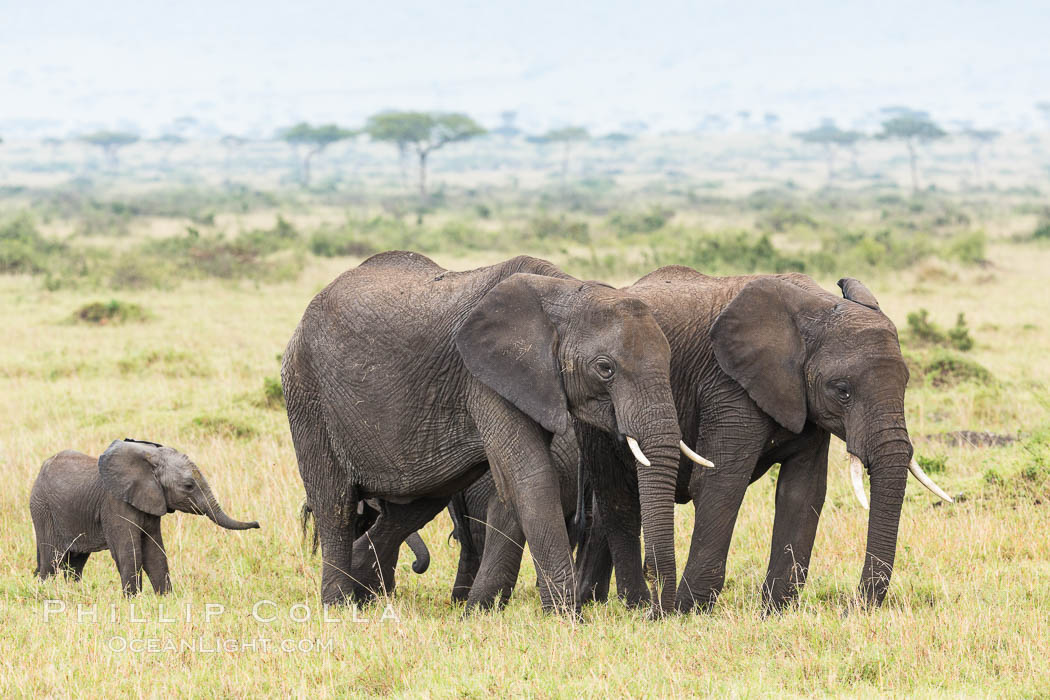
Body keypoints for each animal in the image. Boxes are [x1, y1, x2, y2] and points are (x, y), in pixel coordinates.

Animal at [29, 438, 259, 596]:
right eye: (188, 486)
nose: (257, 523)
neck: (149, 460)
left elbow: (155, 551)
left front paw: (165, 599)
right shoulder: (115, 503)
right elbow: (129, 550)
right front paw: (132, 601)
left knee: (75, 562)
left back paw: (74, 591)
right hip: (42, 509)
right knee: (51, 560)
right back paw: (45, 592)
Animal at [283, 252, 701, 612]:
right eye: (605, 368)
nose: (657, 610)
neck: (565, 292)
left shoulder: (530, 381)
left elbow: (512, 487)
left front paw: (478, 611)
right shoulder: (486, 376)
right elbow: (530, 476)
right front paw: (568, 618)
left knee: (413, 507)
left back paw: (363, 595)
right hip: (307, 394)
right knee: (334, 502)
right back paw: (337, 606)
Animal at [575, 268, 953, 612]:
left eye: (906, 382)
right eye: (842, 391)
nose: (853, 606)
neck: (812, 307)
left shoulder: (803, 401)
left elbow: (803, 491)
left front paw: (775, 611)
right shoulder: (728, 387)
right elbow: (720, 482)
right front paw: (689, 611)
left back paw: (594, 600)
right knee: (617, 498)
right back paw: (633, 606)